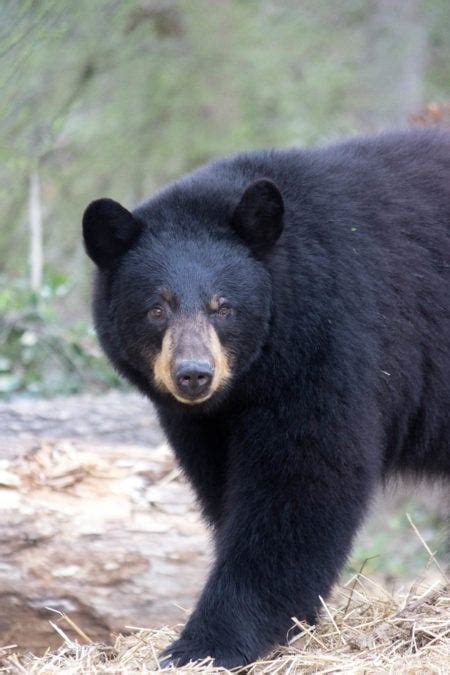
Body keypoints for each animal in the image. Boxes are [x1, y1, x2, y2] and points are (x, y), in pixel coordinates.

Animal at [81, 129, 450, 668]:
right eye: (156, 308)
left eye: (223, 307)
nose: (194, 375)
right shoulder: (204, 423)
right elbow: (223, 486)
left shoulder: (331, 343)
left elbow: (299, 484)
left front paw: (204, 643)